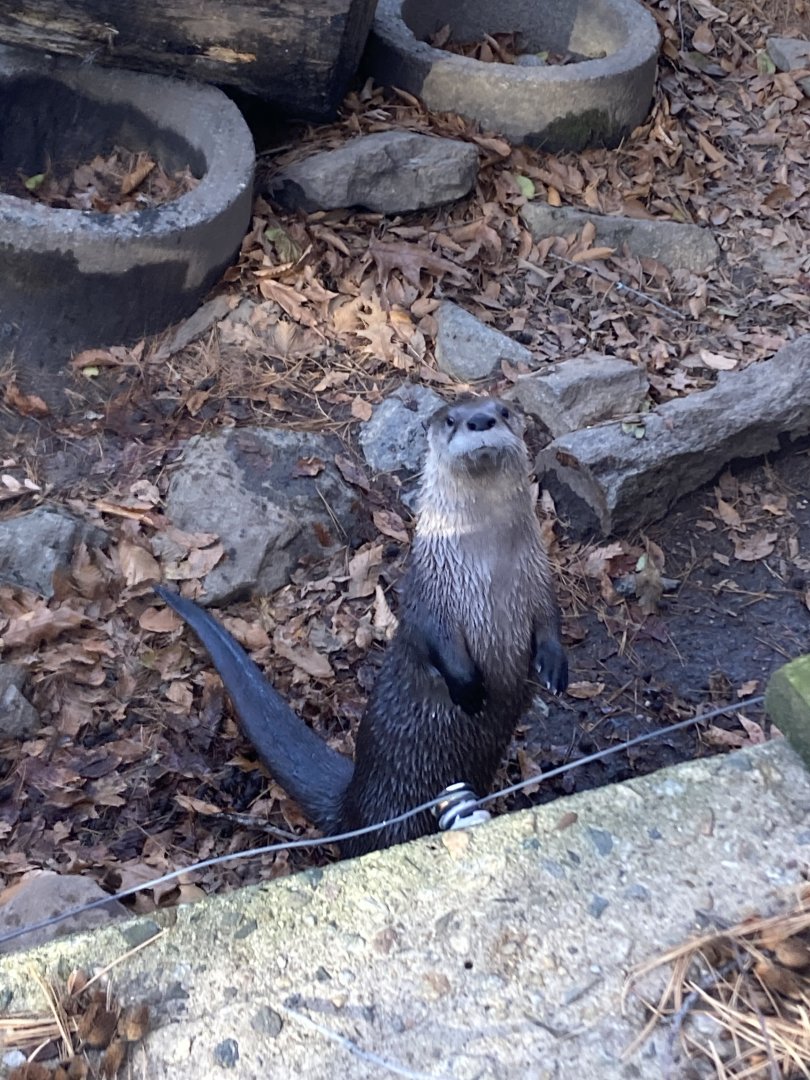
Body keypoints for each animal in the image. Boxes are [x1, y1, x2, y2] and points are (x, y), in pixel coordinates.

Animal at [155, 396, 567, 856]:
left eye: (504, 411)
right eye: (450, 419)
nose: (480, 420)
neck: (487, 563)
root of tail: (352, 801)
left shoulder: (538, 575)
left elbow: (551, 619)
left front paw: (553, 667)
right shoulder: (431, 592)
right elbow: (435, 639)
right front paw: (468, 688)